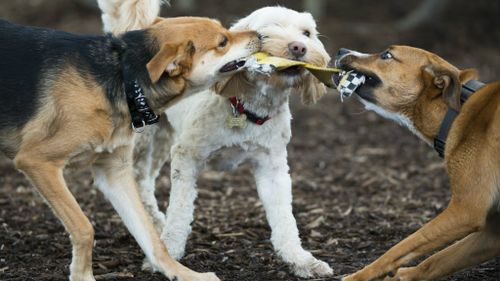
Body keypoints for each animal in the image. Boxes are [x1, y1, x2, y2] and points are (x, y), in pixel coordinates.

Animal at [0, 16, 258, 280]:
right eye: (223, 41)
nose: (259, 35)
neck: (123, 79)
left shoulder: (114, 173)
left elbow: (152, 238)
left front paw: (183, 273)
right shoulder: (37, 161)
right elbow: (84, 227)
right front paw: (82, 275)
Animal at [134, 6, 336, 276]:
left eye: (307, 33)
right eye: (266, 32)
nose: (299, 47)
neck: (246, 107)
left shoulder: (273, 166)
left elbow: (284, 217)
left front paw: (300, 260)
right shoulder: (187, 156)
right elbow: (180, 209)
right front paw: (169, 253)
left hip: (163, 137)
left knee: (145, 178)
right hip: (143, 137)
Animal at [334, 46, 500, 280]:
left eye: (386, 55)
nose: (341, 50)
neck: (454, 111)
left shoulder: (466, 210)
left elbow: (402, 246)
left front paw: (358, 276)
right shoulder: (493, 233)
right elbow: (439, 260)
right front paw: (406, 275)